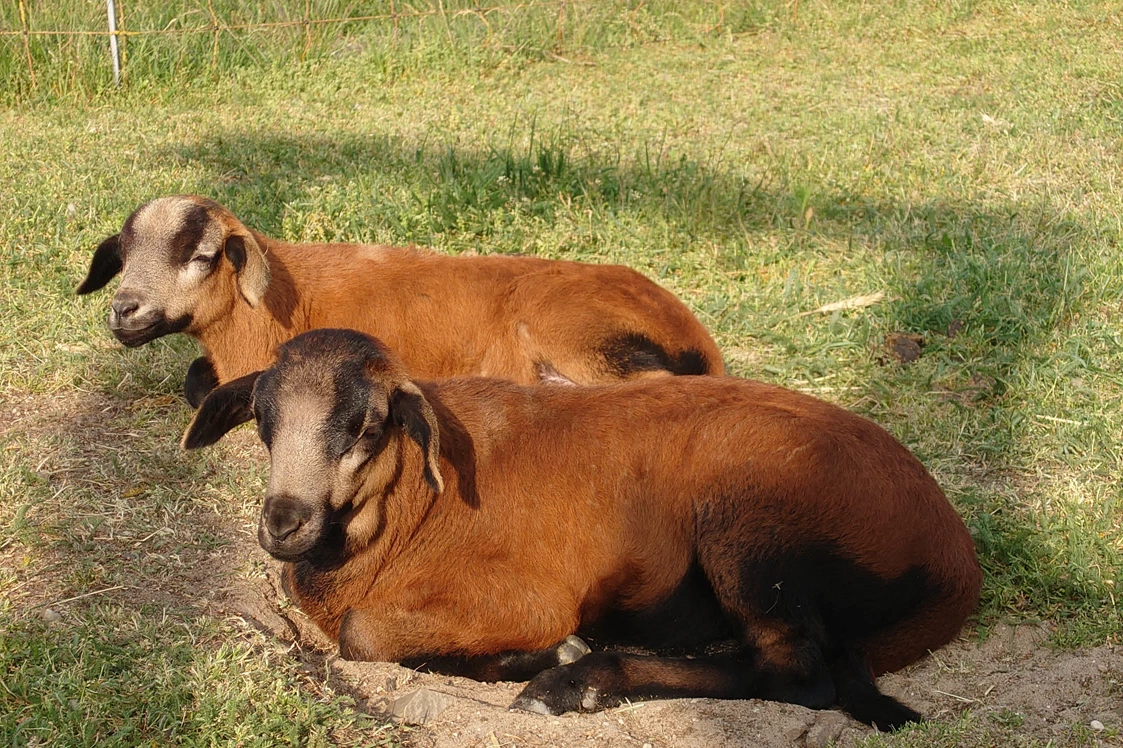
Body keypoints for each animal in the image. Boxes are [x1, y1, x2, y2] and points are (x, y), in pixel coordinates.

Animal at [184, 327, 983, 727]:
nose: (283, 524)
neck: (413, 509)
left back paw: (579, 682)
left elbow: (364, 634)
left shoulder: (529, 596)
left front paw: (543, 659)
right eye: (263, 420)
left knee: (795, 672)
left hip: (751, 527)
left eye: (369, 426)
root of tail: (955, 562)